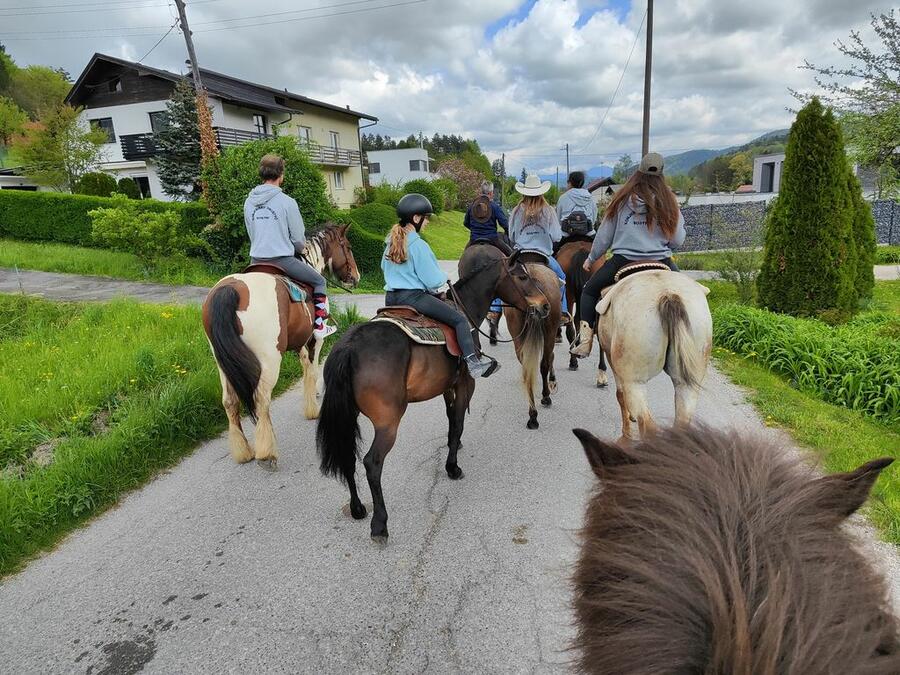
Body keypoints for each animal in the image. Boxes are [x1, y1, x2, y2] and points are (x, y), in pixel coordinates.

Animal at [204, 224, 358, 468]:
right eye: (348, 247)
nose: (355, 277)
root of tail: (230, 289)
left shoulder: (301, 344)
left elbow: (306, 369)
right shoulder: (315, 341)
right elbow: (312, 371)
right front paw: (313, 409)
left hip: (222, 362)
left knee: (230, 401)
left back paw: (243, 451)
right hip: (269, 359)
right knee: (261, 398)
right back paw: (266, 452)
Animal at [316, 246, 548, 540]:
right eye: (522, 277)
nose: (545, 305)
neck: (466, 311)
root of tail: (349, 346)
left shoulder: (446, 387)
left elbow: (451, 422)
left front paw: (453, 448)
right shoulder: (465, 384)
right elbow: (458, 423)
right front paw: (452, 467)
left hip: (348, 416)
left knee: (348, 457)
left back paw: (358, 508)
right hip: (387, 422)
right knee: (372, 463)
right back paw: (380, 523)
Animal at [596, 270, 712, 444]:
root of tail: (668, 294)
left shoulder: (613, 363)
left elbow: (620, 396)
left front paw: (626, 438)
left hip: (635, 382)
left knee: (648, 426)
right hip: (687, 384)